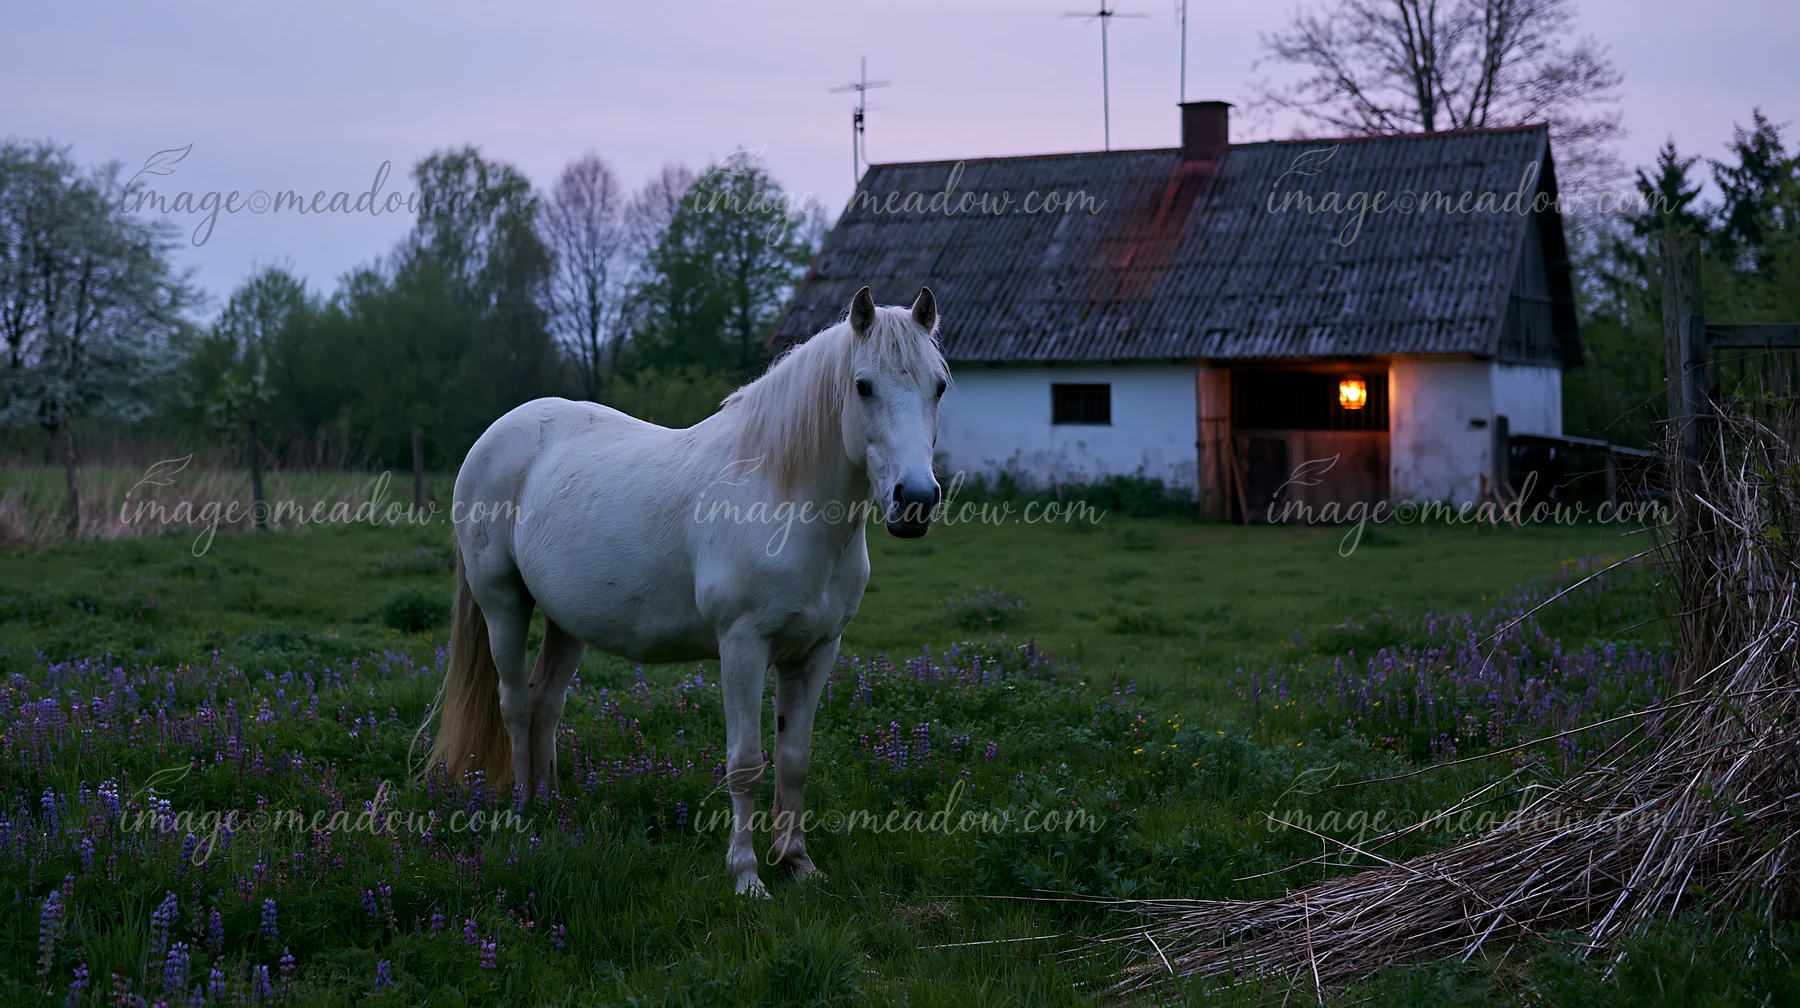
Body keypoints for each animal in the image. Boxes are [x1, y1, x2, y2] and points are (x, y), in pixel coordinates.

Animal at [424, 286, 948, 896]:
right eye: (863, 385)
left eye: (939, 385)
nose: (915, 500)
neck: (784, 495)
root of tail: (496, 435)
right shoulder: (743, 647)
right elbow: (745, 763)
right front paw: (746, 876)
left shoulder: (817, 651)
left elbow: (795, 758)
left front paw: (797, 862)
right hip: (502, 605)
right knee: (513, 703)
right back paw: (524, 811)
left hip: (568, 622)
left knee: (544, 702)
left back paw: (552, 807)